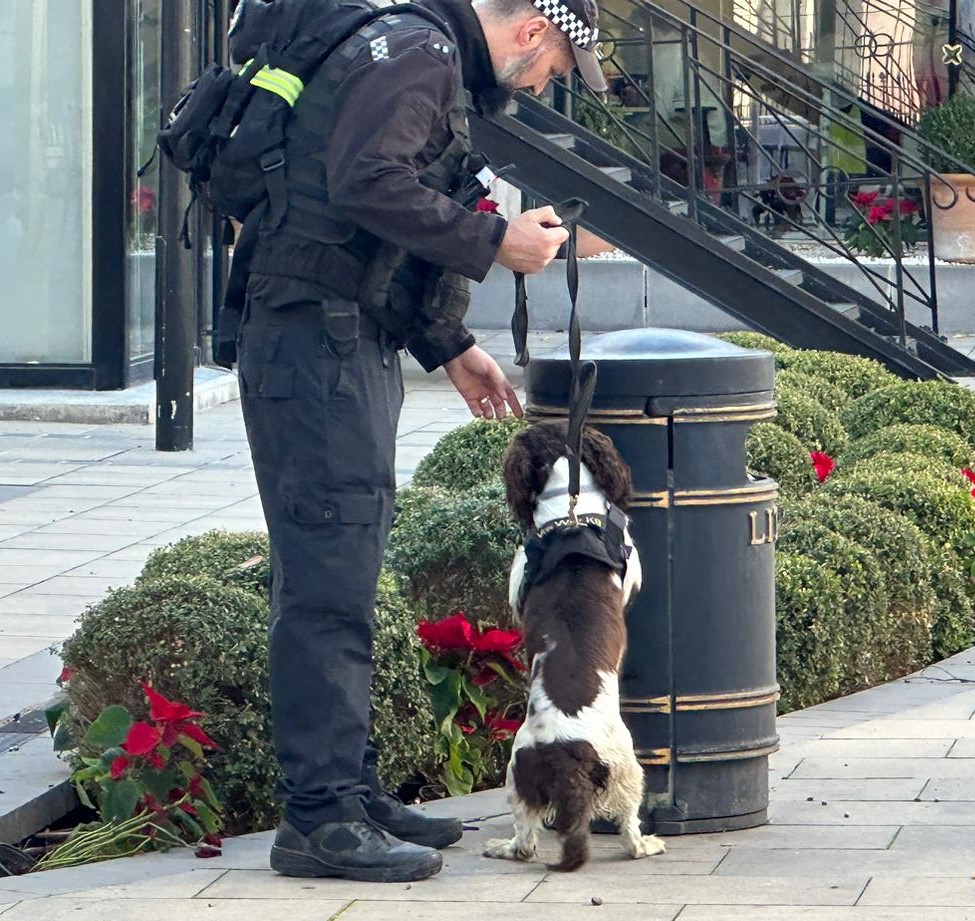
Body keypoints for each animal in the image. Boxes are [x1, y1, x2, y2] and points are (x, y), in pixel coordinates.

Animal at [484, 422, 668, 868]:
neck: (570, 515)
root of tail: (565, 749)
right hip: (626, 766)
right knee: (626, 829)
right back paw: (645, 845)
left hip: (519, 773)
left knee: (525, 837)